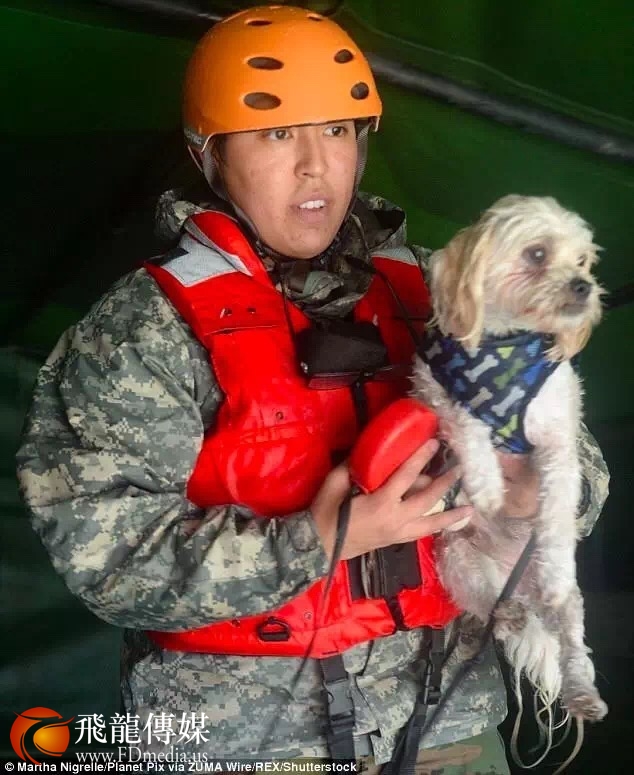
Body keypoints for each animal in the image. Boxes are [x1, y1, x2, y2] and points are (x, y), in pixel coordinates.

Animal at [412, 195, 607, 766]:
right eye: (537, 253)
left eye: (584, 261)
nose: (584, 287)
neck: (503, 350)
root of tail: (511, 579)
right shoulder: (436, 392)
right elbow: (467, 420)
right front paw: (485, 484)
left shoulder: (559, 443)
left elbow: (558, 499)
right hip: (457, 559)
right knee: (488, 606)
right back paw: (506, 617)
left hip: (563, 607)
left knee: (569, 638)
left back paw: (581, 689)